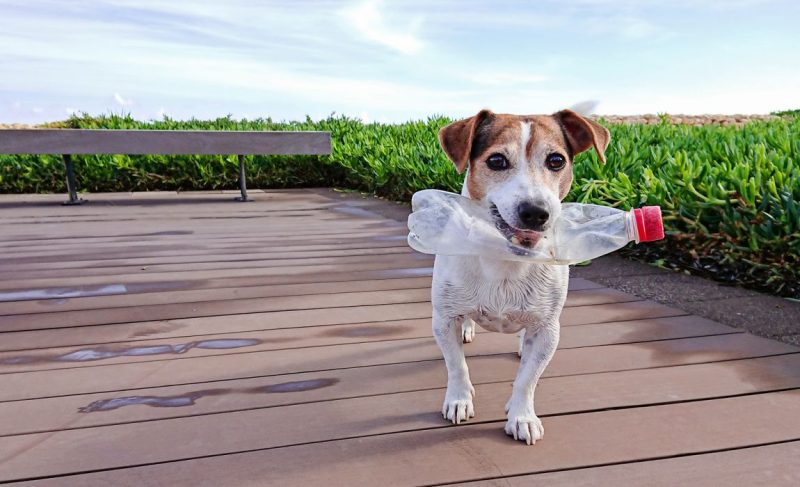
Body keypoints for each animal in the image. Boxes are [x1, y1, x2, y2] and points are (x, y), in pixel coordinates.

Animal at [432, 108, 612, 444]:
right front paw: (459, 399)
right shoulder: (443, 320)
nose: (536, 212)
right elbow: (456, 365)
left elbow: (528, 379)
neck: (505, 257)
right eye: (496, 160)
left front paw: (522, 416)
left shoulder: (547, 331)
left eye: (556, 160)